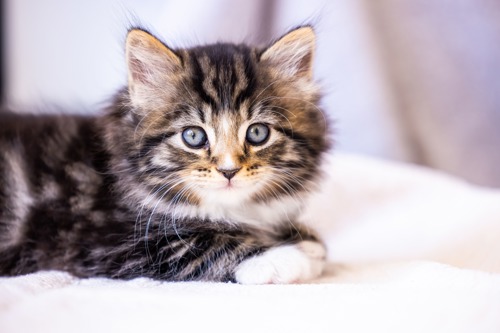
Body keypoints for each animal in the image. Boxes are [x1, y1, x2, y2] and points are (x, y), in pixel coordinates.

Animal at [0, 25, 332, 282]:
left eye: (257, 133)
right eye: (194, 136)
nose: (228, 170)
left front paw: (304, 240)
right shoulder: (99, 239)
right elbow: (197, 242)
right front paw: (283, 257)